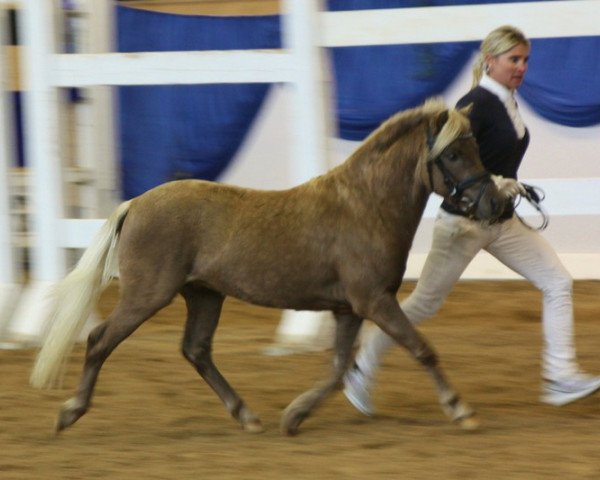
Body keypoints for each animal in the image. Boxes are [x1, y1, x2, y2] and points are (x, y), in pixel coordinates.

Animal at [30, 97, 504, 436]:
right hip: (148, 294)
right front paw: (461, 411)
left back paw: (246, 415)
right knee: (99, 340)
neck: (365, 206)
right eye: (455, 154)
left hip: (204, 294)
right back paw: (70, 412)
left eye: (475, 147)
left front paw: (294, 416)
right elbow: (420, 348)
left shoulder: (348, 308)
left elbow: (338, 368)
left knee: (196, 350)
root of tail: (135, 204)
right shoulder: (374, 301)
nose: (496, 205)